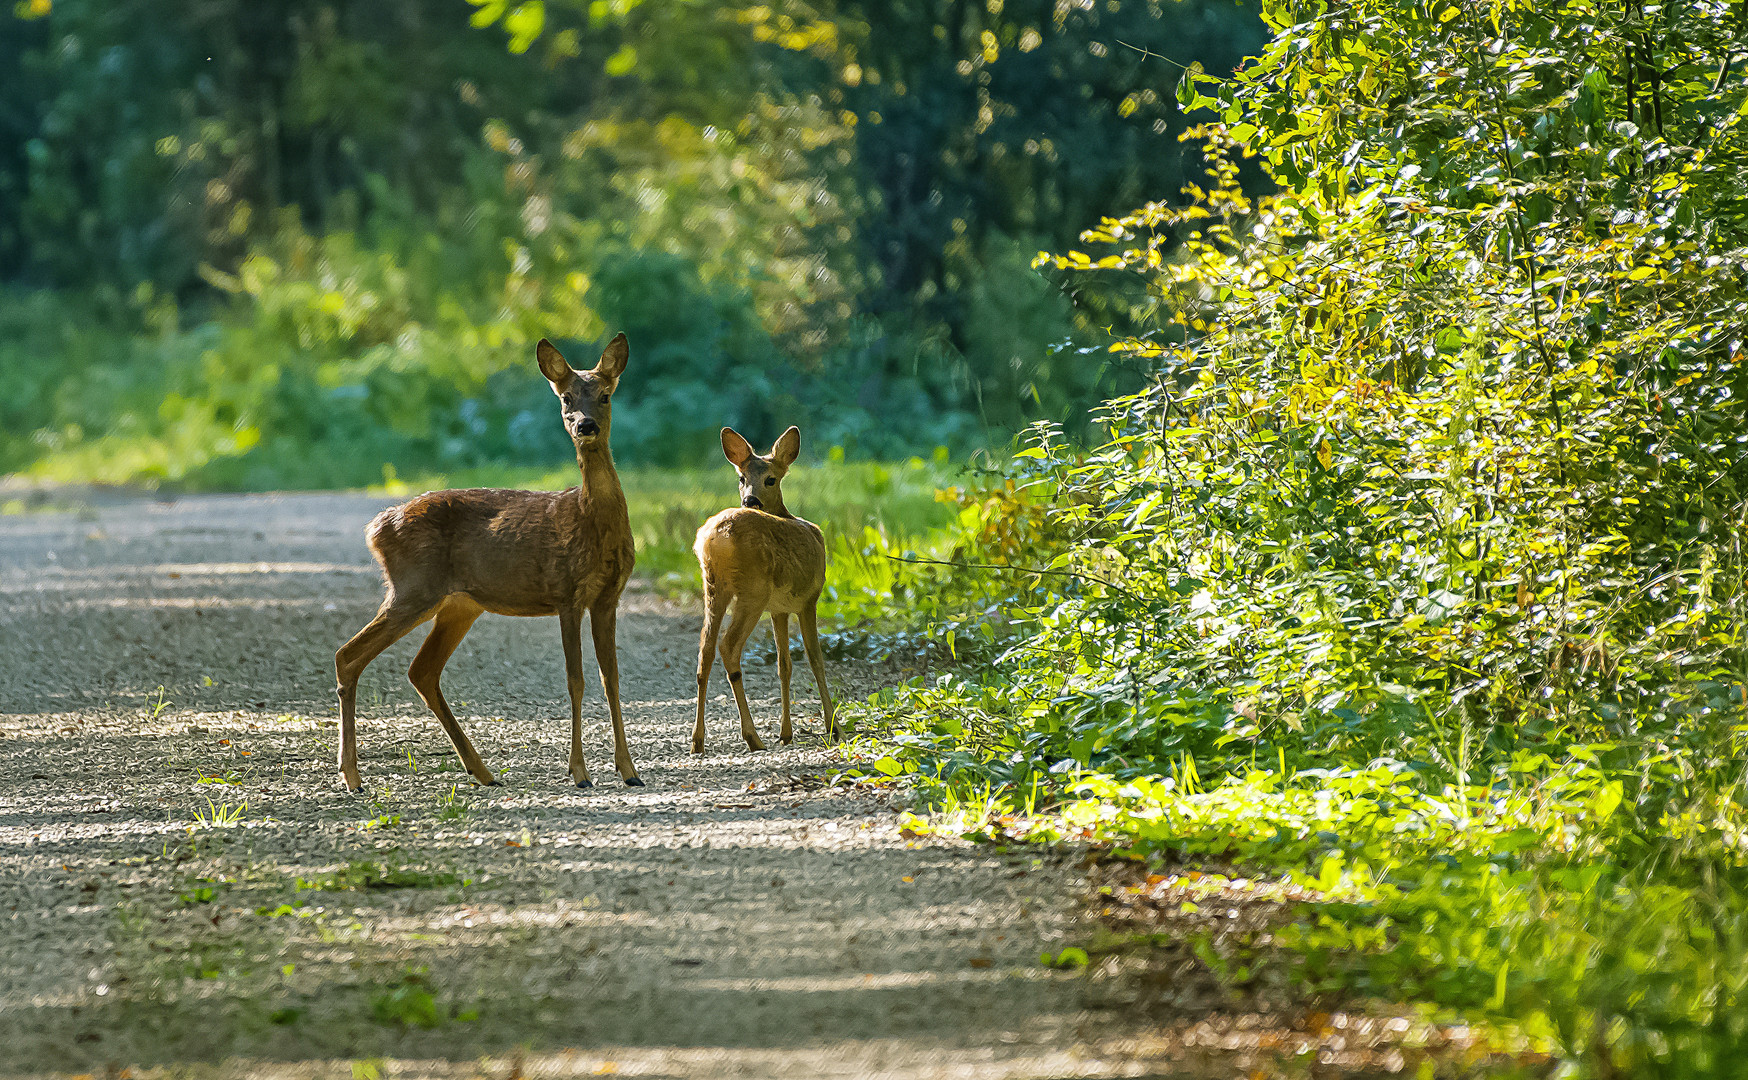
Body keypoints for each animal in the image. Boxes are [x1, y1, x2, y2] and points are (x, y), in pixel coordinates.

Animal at [332, 332, 643, 786]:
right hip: (414, 587)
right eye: (566, 397)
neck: (590, 519)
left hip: (459, 604)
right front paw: (579, 772)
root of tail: (375, 529)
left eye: (605, 395)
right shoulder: (566, 591)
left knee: (421, 669)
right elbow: (576, 679)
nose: (585, 425)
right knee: (348, 655)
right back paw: (352, 775)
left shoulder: (608, 597)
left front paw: (629, 770)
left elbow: (612, 678)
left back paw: (480, 769)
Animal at [692, 426, 835, 747]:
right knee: (728, 646)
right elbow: (815, 659)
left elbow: (784, 665)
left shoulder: (779, 609)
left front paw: (786, 733)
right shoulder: (810, 599)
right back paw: (751, 736)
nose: (750, 501)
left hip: (714, 588)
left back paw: (697, 741)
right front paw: (835, 727)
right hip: (752, 591)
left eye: (770, 478)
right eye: (741, 478)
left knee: (705, 650)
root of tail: (717, 536)